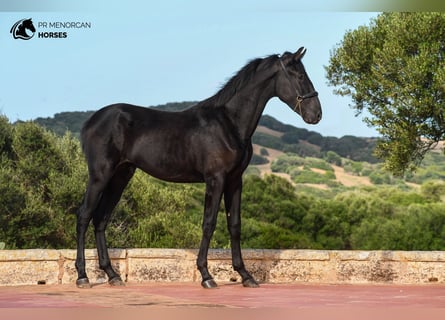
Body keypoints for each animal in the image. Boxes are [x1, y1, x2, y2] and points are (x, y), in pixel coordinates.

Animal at [75, 46, 320, 288]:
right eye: (299, 75)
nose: (316, 114)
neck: (229, 123)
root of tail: (91, 121)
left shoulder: (235, 180)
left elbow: (235, 225)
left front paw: (245, 275)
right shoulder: (215, 179)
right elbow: (209, 223)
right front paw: (206, 275)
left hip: (121, 176)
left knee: (101, 218)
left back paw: (112, 274)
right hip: (100, 175)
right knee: (84, 215)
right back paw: (83, 276)